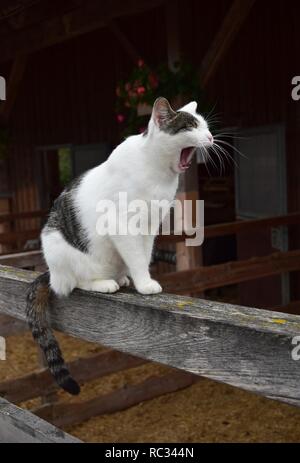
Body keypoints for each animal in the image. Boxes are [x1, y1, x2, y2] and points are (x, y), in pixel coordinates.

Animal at [25, 98, 213, 396]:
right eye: (191, 126)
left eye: (205, 126)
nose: (211, 137)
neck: (156, 171)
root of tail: (50, 273)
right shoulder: (122, 225)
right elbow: (136, 257)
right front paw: (145, 284)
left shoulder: (150, 227)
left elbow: (144, 256)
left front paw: (140, 279)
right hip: (59, 247)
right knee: (71, 284)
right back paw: (104, 283)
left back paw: (121, 277)